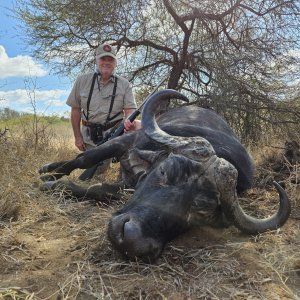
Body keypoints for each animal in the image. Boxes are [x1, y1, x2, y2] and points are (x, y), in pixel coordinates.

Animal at [39, 89, 290, 262]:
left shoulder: (127, 184)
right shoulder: (124, 141)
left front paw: (59, 184)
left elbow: (99, 190)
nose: (131, 240)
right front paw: (48, 178)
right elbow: (82, 160)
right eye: (164, 171)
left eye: (201, 210)